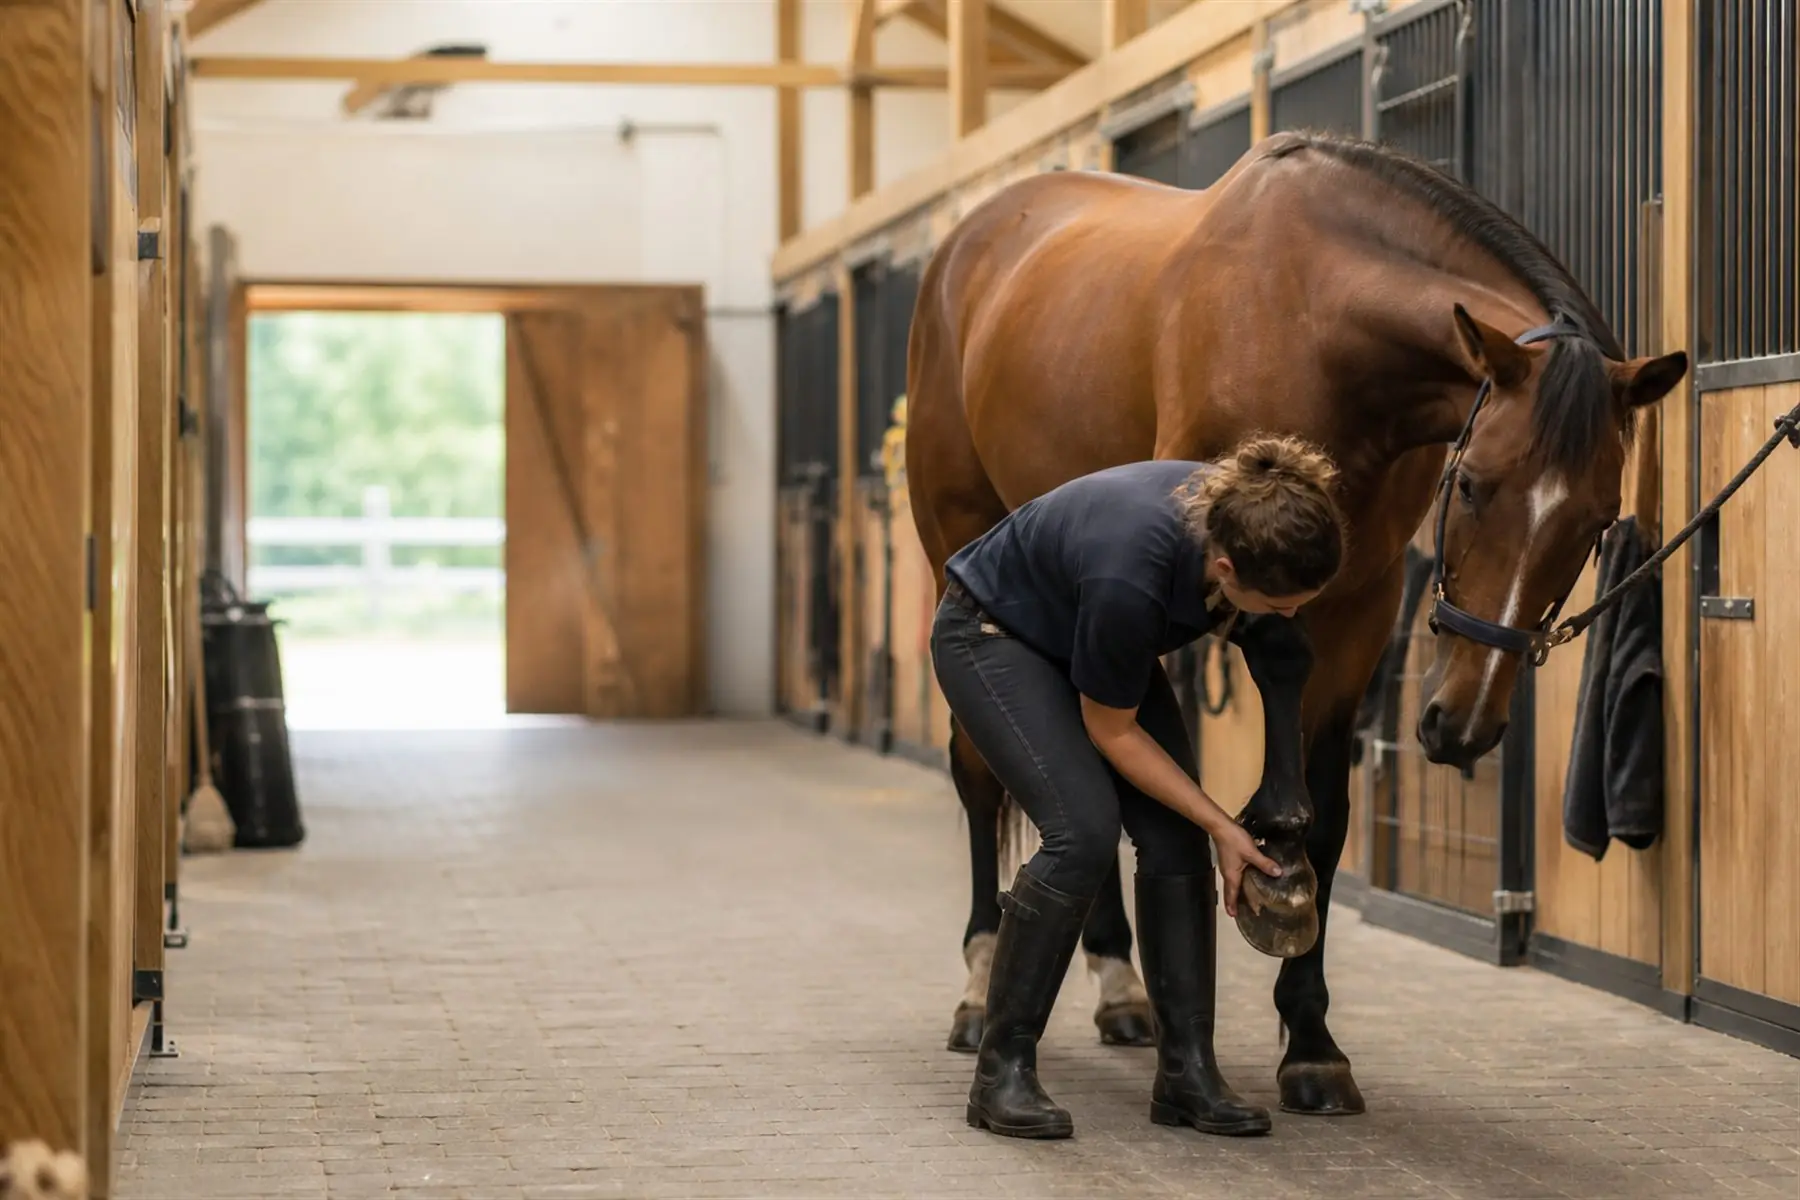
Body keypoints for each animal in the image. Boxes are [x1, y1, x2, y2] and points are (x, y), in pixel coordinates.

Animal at [904, 129, 1687, 1115]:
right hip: (956, 539)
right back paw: (979, 990)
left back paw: (1121, 986)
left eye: (1597, 521)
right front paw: (1270, 846)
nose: (1463, 724)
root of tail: (966, 244)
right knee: (980, 772)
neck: (1316, 316)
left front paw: (1311, 1043)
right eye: (1473, 486)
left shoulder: (1364, 600)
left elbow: (1327, 807)